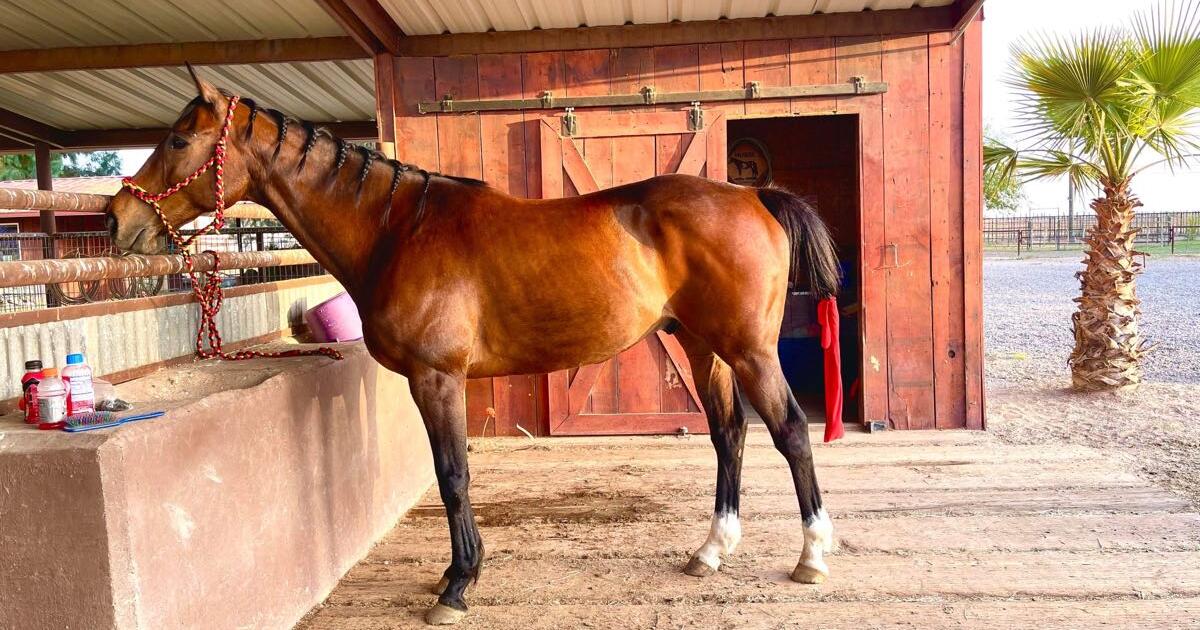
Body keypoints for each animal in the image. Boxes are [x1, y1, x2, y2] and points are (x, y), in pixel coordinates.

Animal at [105, 69, 841, 626]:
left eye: (178, 138)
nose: (118, 217)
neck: (397, 228)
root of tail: (755, 196)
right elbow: (450, 474)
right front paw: (457, 573)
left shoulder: (437, 378)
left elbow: (453, 475)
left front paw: (457, 586)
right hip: (701, 346)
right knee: (729, 435)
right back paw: (712, 550)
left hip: (747, 350)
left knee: (791, 432)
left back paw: (812, 555)